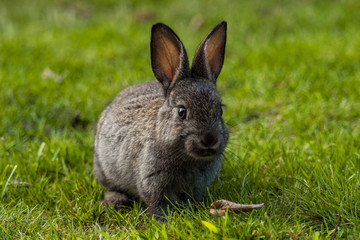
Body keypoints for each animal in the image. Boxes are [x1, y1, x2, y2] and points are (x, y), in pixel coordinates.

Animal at [93, 20, 228, 219]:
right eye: (182, 112)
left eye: (220, 110)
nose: (209, 140)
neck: (186, 157)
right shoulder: (151, 183)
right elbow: (157, 202)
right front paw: (164, 219)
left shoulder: (196, 187)